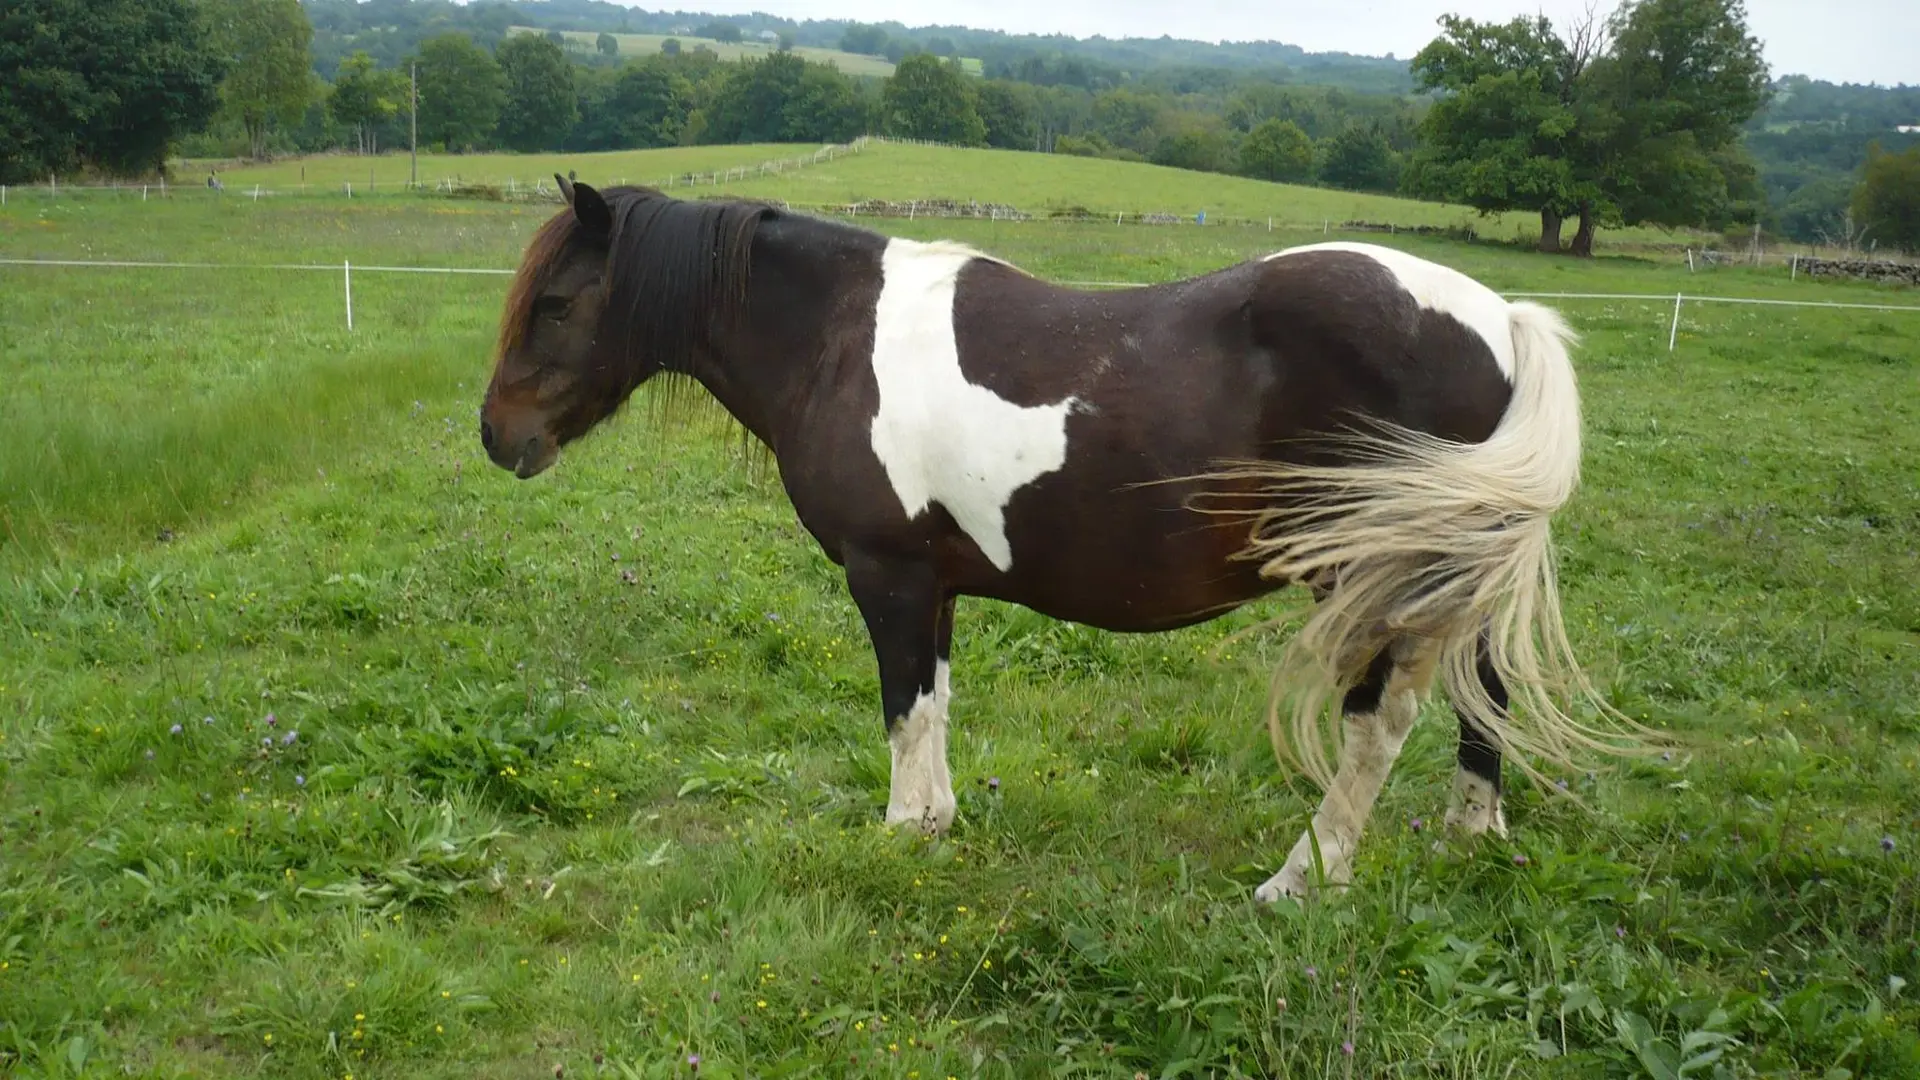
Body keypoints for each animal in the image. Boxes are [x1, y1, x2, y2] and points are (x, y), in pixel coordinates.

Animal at [483, 178, 1635, 899]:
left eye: (557, 303)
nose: (499, 436)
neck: (839, 338)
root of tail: (1502, 320)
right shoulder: (936, 584)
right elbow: (937, 705)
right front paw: (940, 823)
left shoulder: (887, 577)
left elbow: (904, 710)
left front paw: (902, 836)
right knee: (1483, 699)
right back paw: (1472, 840)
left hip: (1374, 584)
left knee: (1379, 725)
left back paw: (1300, 881)